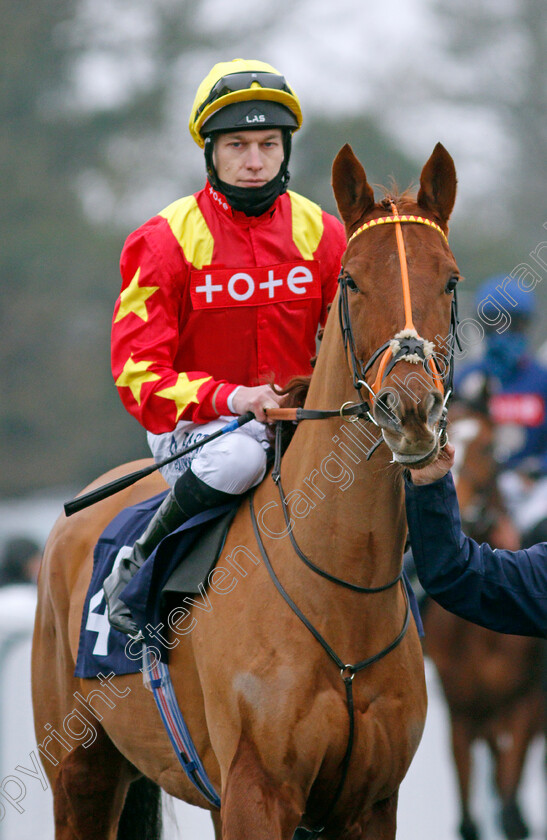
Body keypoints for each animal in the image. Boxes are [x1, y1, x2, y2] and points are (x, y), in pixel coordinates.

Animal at [34, 144, 460, 840]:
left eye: (449, 279)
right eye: (351, 281)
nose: (412, 411)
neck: (341, 590)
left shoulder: (370, 803)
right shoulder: (257, 790)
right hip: (80, 772)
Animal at [424, 402, 544, 840]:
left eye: (491, 448)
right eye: (450, 432)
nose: (462, 505)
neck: (478, 637)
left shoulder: (522, 708)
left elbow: (511, 816)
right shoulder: (462, 714)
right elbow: (467, 822)